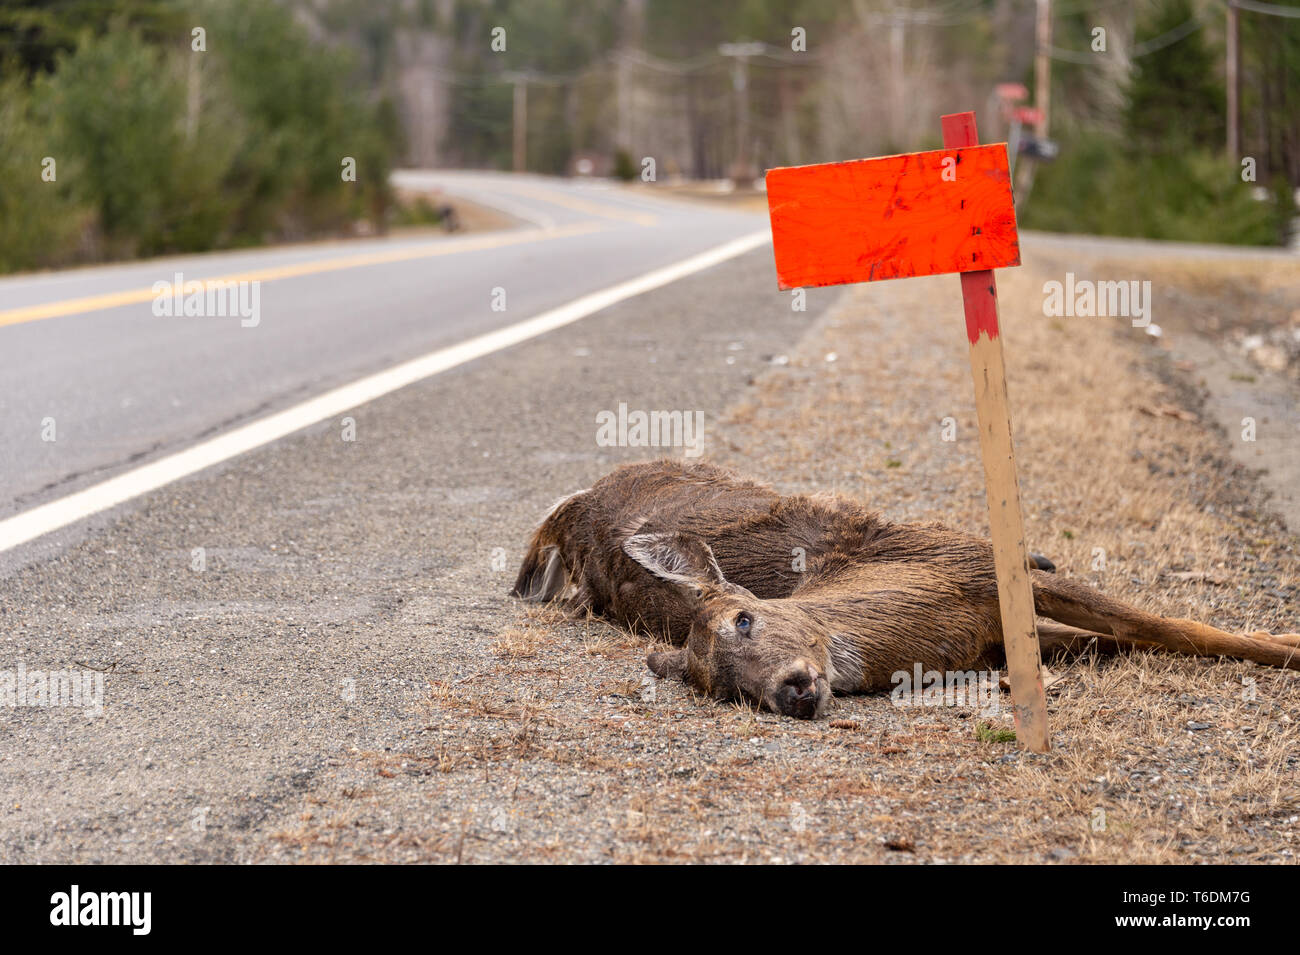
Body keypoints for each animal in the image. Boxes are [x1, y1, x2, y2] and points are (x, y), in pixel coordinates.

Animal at [512, 460, 1300, 719]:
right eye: (726, 690)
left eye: (743, 620)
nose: (792, 690)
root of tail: (572, 515)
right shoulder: (995, 626)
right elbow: (1130, 636)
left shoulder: (979, 565)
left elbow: (1173, 627)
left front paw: (1288, 641)